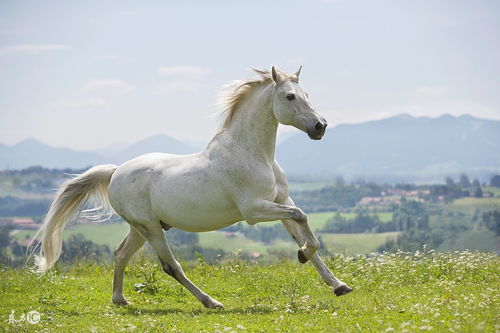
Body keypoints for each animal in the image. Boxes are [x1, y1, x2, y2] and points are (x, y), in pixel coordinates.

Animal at [33, 66, 352, 308]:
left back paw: (120, 300)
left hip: (140, 228)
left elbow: (303, 230)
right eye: (290, 96)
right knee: (170, 266)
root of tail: (115, 172)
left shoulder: (281, 200)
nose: (320, 126)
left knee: (120, 254)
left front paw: (337, 284)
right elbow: (302, 218)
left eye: (307, 95)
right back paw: (211, 302)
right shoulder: (254, 210)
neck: (251, 153)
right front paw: (304, 256)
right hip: (151, 228)